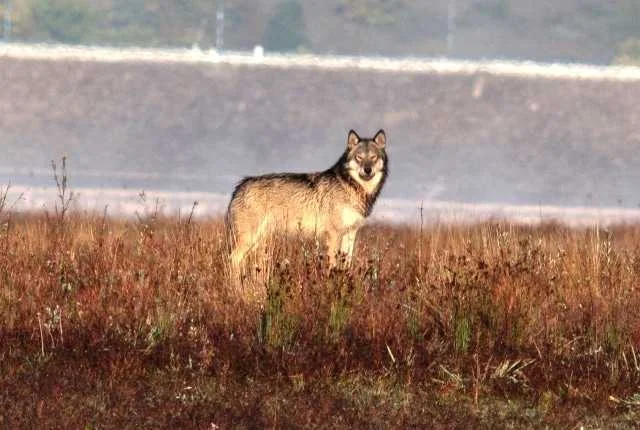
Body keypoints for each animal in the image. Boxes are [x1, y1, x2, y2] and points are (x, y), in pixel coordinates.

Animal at [226, 129, 388, 278]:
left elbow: (346, 263)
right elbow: (332, 264)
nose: (367, 170)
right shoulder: (334, 233)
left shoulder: (351, 232)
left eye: (373, 157)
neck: (352, 187)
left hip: (258, 241)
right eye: (359, 157)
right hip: (249, 239)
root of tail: (239, 187)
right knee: (232, 259)